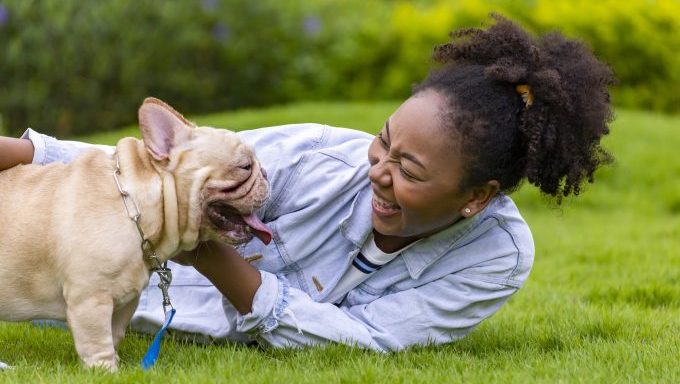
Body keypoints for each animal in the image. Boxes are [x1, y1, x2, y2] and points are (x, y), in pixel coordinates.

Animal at [0, 97, 270, 370]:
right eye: (245, 166)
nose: (266, 174)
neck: (135, 205)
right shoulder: (90, 298)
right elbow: (98, 340)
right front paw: (105, 371)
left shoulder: (125, 301)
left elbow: (115, 333)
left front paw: (119, 366)